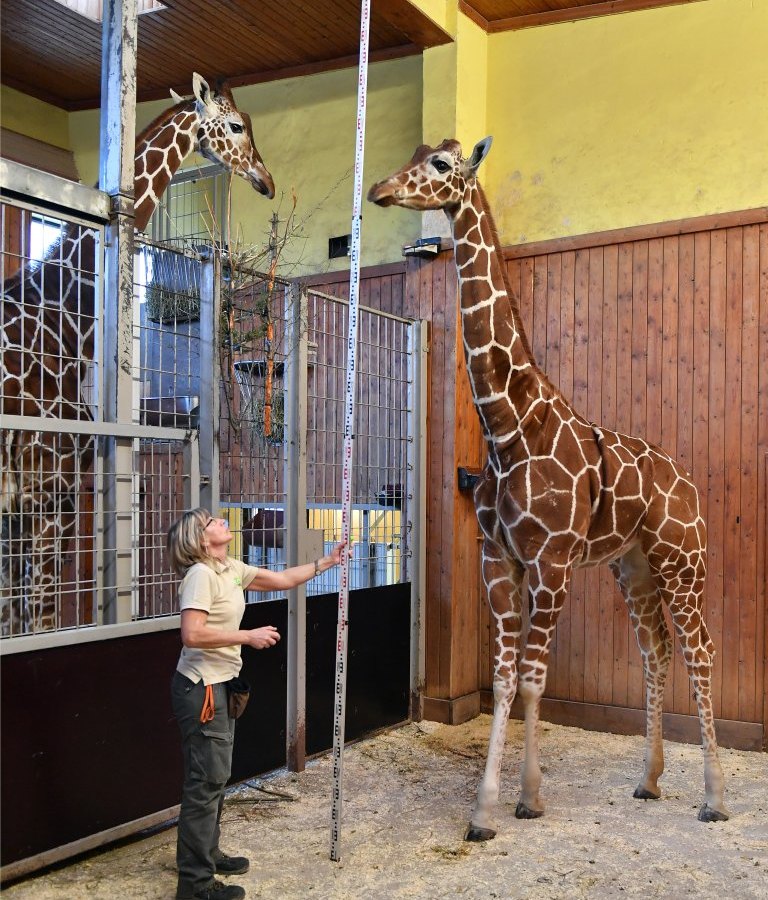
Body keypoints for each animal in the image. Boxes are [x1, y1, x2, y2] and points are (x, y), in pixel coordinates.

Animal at [0, 74, 276, 636]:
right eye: (237, 126)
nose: (267, 180)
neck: (61, 327)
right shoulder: (46, 499)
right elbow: (37, 626)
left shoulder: (24, 512)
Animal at [368, 139, 728, 836]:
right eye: (417, 152)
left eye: (443, 166)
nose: (379, 189)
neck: (509, 427)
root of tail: (688, 484)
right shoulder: (498, 559)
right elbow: (505, 679)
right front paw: (483, 811)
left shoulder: (551, 561)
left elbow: (534, 681)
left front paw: (528, 797)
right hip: (633, 566)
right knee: (657, 653)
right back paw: (649, 781)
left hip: (683, 561)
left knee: (701, 653)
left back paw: (715, 798)